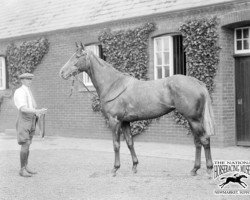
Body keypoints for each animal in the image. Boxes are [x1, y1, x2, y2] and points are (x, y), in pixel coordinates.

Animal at [60, 42, 215, 177]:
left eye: (77, 56)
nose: (62, 72)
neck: (113, 85)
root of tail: (198, 83)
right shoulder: (124, 122)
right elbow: (130, 143)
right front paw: (134, 166)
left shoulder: (114, 121)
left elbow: (116, 145)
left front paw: (115, 169)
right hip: (191, 120)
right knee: (197, 142)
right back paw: (194, 169)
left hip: (194, 119)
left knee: (205, 140)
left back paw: (209, 170)